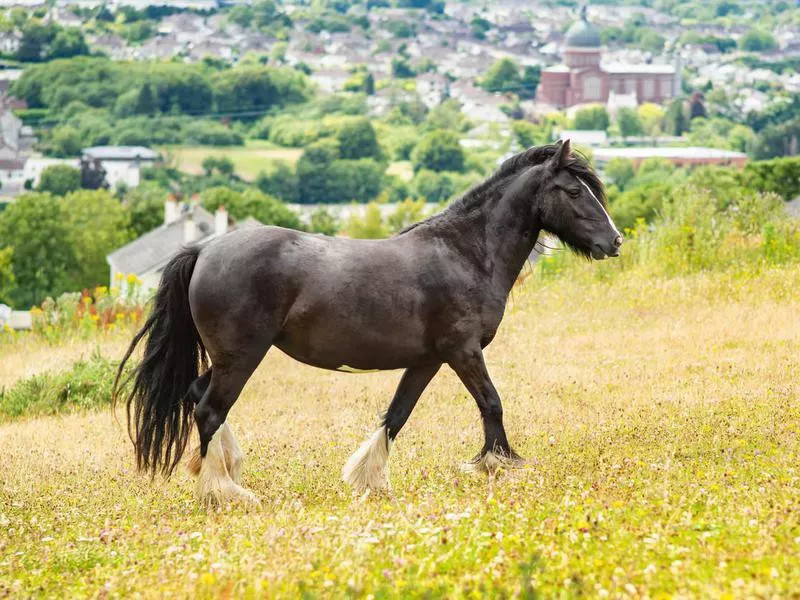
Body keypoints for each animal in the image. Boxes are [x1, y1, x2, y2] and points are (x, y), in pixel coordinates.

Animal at [114, 141, 624, 506]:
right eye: (575, 191)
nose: (614, 241)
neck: (464, 251)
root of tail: (204, 250)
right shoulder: (464, 352)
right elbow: (491, 403)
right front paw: (499, 464)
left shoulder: (429, 360)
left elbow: (396, 416)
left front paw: (369, 480)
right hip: (241, 357)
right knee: (209, 409)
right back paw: (225, 493)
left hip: (227, 359)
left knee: (198, 396)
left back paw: (223, 470)